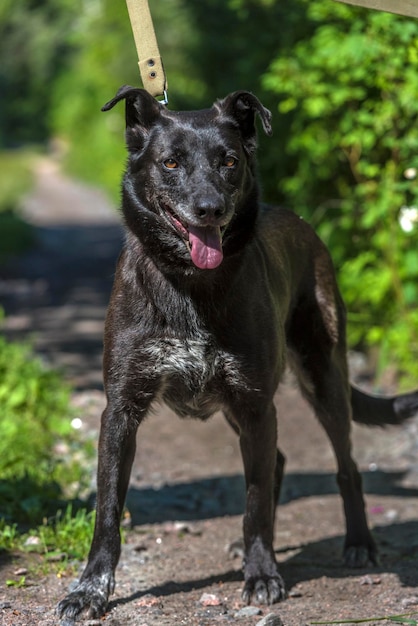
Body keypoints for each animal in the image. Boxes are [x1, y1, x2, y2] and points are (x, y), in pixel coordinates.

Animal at [58, 88, 418, 620]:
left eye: (228, 161)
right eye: (170, 162)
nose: (209, 209)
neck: (190, 284)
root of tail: (301, 222)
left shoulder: (254, 403)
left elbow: (254, 502)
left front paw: (263, 573)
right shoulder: (121, 411)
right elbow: (107, 512)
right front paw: (90, 589)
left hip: (321, 377)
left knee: (346, 466)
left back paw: (358, 543)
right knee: (281, 460)